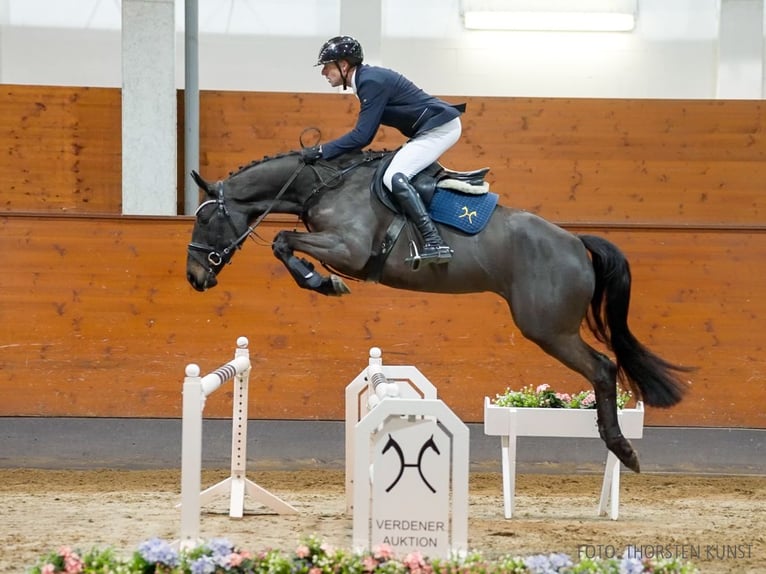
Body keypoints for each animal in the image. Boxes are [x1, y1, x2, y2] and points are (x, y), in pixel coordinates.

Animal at [189, 147, 692, 472]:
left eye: (203, 217)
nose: (195, 277)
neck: (324, 187)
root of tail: (574, 241)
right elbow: (283, 241)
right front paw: (320, 281)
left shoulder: (349, 249)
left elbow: (281, 240)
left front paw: (322, 282)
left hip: (549, 329)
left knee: (604, 368)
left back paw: (623, 449)